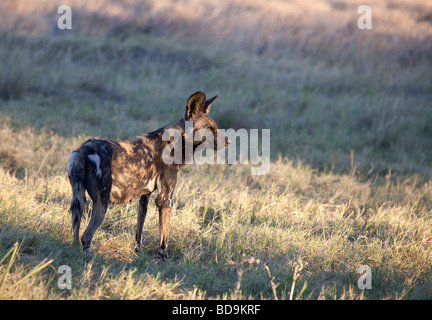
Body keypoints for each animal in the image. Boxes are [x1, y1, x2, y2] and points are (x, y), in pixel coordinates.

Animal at [67, 90, 230, 258]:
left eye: (216, 127)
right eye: (209, 129)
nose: (228, 141)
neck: (176, 142)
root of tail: (85, 149)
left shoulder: (144, 197)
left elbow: (139, 230)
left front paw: (138, 251)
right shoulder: (165, 199)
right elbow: (164, 237)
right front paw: (163, 257)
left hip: (79, 201)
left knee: (76, 234)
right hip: (102, 204)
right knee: (86, 236)